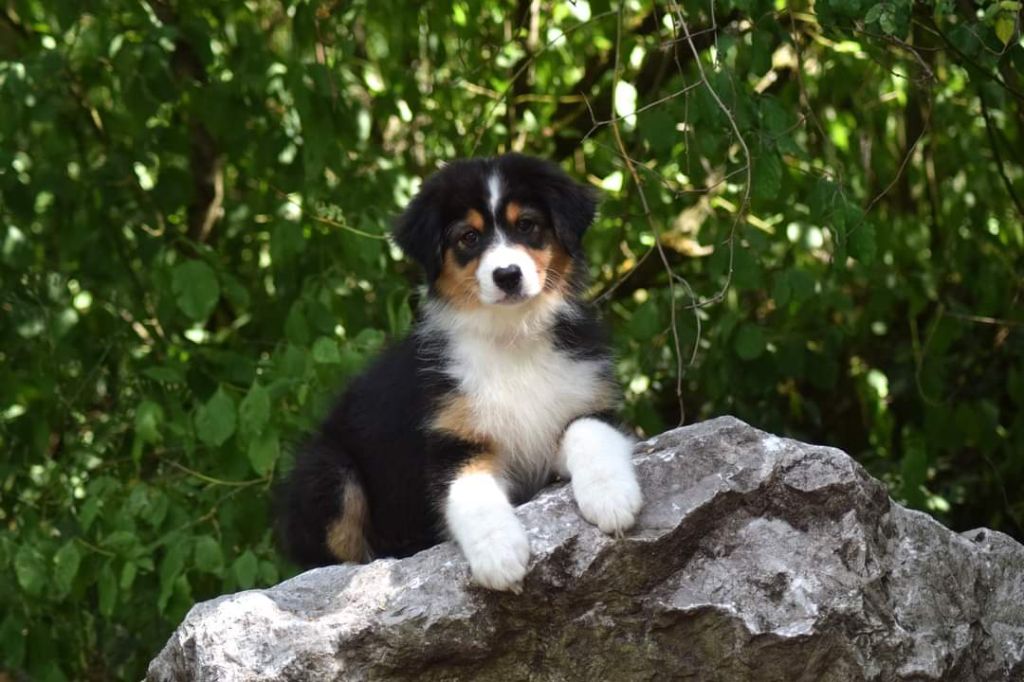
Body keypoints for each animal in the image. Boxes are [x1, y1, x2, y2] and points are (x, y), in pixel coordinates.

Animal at [276, 154, 642, 592]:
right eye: (468, 237)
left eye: (527, 225)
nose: (507, 275)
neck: (510, 337)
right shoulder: (453, 442)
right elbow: (471, 492)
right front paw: (499, 555)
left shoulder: (587, 399)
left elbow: (588, 431)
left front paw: (611, 497)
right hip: (326, 469)